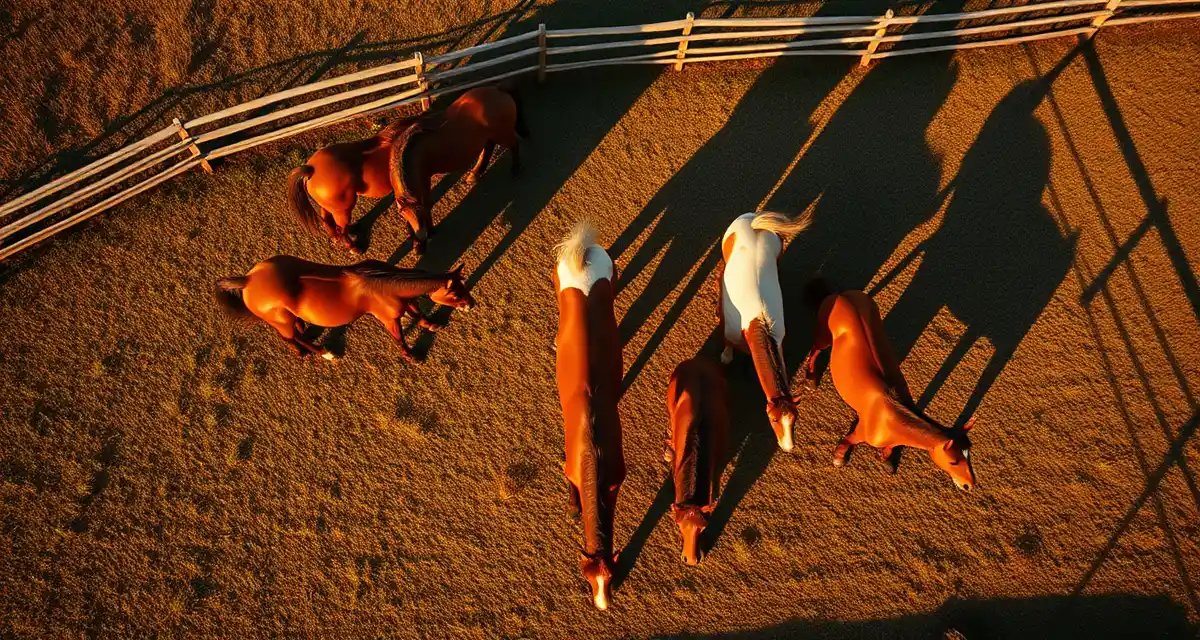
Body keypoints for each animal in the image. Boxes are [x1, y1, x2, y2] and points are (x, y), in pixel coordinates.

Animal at [213, 255, 474, 360]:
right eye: (455, 293)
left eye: (463, 286)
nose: (471, 305)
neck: (384, 284)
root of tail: (247, 280)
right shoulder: (388, 318)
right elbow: (399, 337)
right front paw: (411, 356)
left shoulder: (403, 302)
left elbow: (417, 312)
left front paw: (432, 324)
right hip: (281, 321)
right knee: (291, 338)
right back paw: (322, 353)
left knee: (294, 334)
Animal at [287, 116, 419, 253]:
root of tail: (311, 168)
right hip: (343, 211)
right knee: (341, 230)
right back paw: (354, 248)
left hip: (328, 207)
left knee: (327, 221)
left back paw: (336, 237)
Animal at [390, 84, 528, 255]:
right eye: (405, 214)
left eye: (421, 215)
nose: (422, 238)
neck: (414, 149)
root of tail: (499, 90)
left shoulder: (424, 183)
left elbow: (427, 203)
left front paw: (430, 232)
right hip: (490, 137)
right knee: (489, 149)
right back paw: (475, 173)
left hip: (502, 134)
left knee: (514, 145)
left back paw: (515, 169)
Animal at [718, 210, 812, 452]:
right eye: (773, 419)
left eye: (794, 419)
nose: (788, 447)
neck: (758, 321)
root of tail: (753, 221)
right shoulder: (731, 330)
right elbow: (728, 343)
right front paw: (726, 356)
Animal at [805, 287, 977, 491]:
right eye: (953, 462)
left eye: (969, 455)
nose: (969, 485)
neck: (891, 415)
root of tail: (842, 294)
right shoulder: (859, 433)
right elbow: (847, 442)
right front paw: (839, 458)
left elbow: (890, 449)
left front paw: (887, 460)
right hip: (824, 336)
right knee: (815, 350)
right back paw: (811, 377)